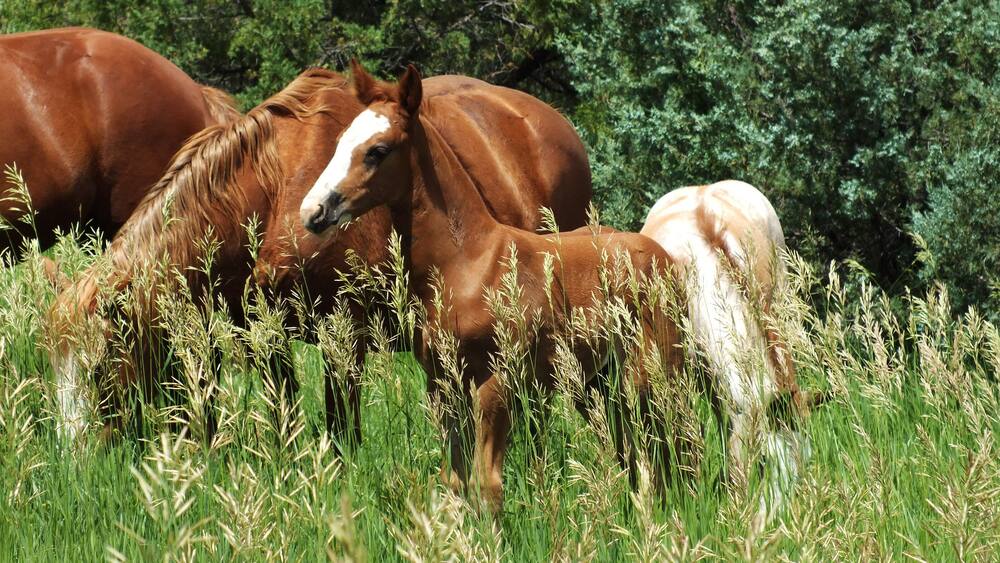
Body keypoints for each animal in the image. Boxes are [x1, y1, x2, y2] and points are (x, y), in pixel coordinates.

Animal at [48, 66, 592, 445]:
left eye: (97, 370)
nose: (79, 461)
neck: (275, 188)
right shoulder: (264, 331)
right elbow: (281, 416)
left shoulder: (344, 333)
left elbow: (340, 428)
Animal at [299, 61, 683, 513]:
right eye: (341, 140)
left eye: (378, 150)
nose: (313, 211)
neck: (467, 263)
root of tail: (661, 255)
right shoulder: (442, 384)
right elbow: (455, 481)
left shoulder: (495, 380)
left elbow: (489, 485)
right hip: (601, 381)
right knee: (634, 455)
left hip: (651, 375)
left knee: (666, 451)